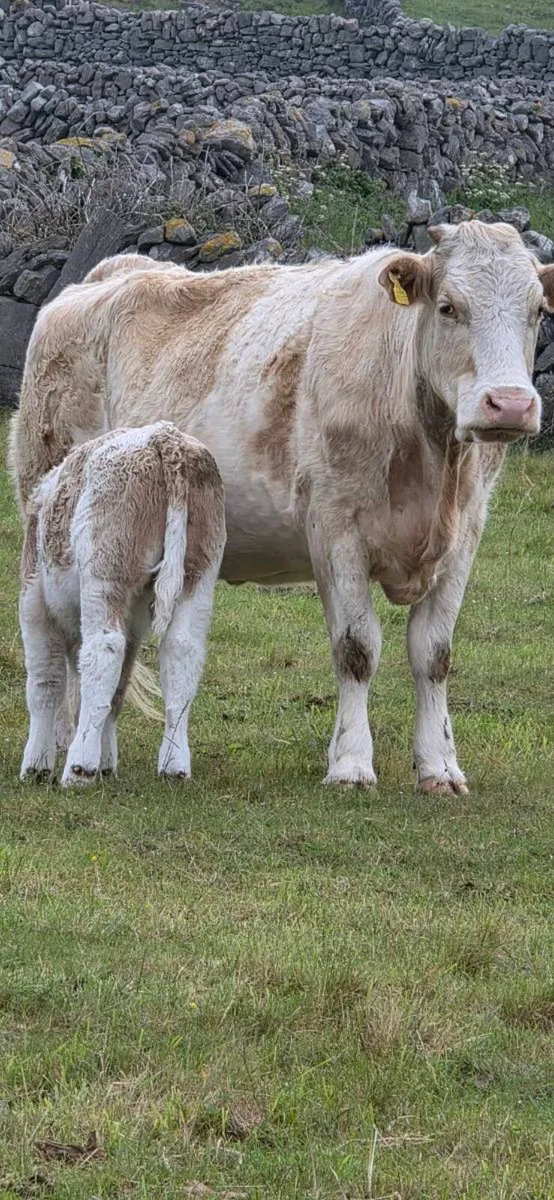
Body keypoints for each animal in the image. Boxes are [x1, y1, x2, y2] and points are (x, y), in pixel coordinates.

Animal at [19, 422, 225, 786]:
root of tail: (166, 436)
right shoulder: (135, 626)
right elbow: (115, 690)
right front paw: (106, 760)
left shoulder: (34, 601)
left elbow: (45, 683)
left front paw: (37, 764)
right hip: (198, 573)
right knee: (182, 650)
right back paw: (174, 764)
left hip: (106, 572)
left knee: (105, 649)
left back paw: (79, 767)